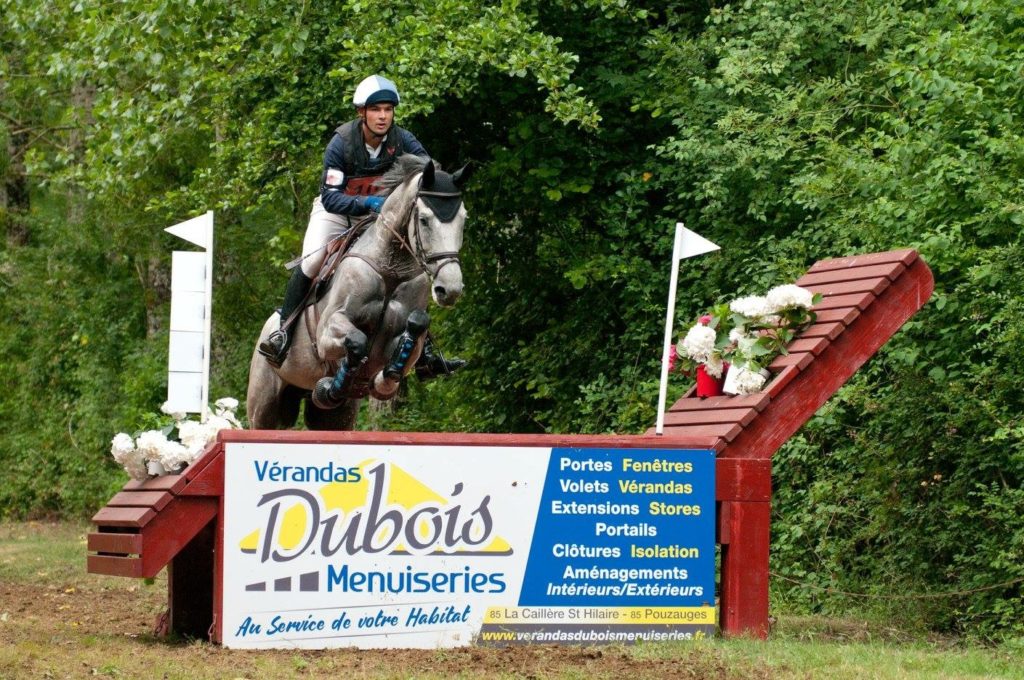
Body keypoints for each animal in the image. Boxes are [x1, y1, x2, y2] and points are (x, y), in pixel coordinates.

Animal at [245, 156, 468, 428]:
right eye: (424, 220)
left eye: (463, 220)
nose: (450, 288)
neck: (391, 269)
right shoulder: (327, 331)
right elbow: (357, 341)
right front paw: (334, 387)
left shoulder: (407, 340)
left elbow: (411, 336)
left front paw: (382, 380)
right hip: (264, 407)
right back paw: (279, 344)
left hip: (333, 419)